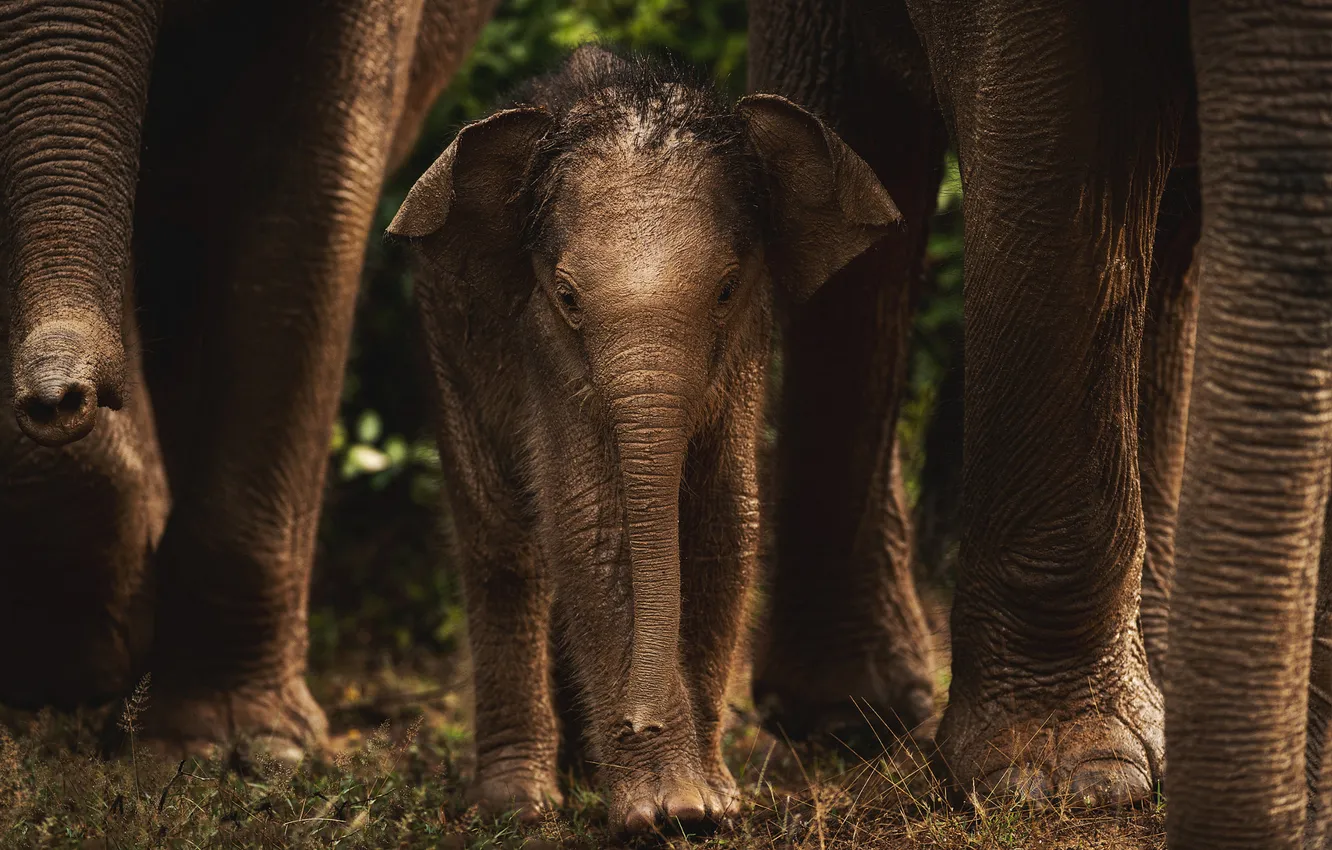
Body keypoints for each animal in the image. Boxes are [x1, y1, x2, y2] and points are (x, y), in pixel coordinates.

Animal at [387, 45, 903, 833]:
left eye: (725, 289)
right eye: (567, 298)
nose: (641, 716)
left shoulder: (745, 345)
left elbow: (724, 524)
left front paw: (709, 805)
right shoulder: (540, 344)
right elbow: (592, 525)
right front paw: (665, 812)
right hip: (444, 343)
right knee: (504, 544)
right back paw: (521, 803)